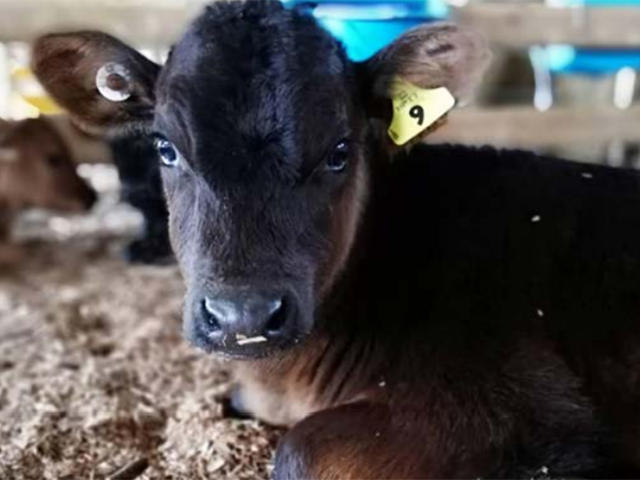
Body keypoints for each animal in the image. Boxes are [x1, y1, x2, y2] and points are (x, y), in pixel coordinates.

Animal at [32, 1, 640, 478]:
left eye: (340, 150)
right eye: (165, 147)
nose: (242, 316)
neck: (287, 381)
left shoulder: (530, 423)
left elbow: (298, 450)